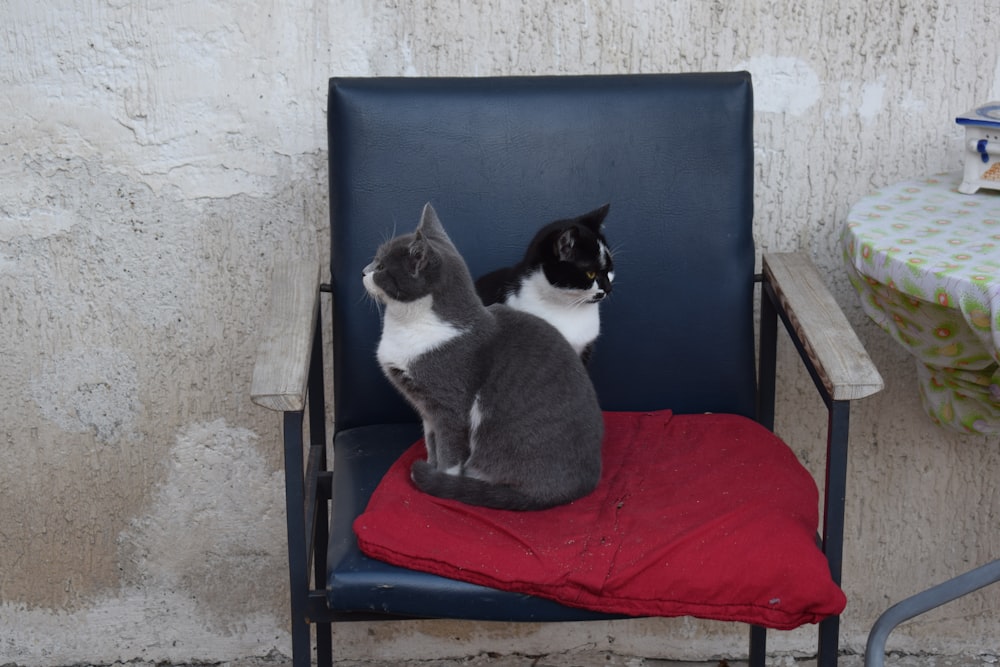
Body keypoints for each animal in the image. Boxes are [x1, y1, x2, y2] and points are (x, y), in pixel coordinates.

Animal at [366, 204, 604, 512]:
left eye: (381, 266)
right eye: (375, 261)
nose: (364, 271)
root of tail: (576, 489)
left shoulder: (450, 406)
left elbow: (449, 449)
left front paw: (440, 479)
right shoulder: (426, 410)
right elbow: (431, 442)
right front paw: (431, 464)